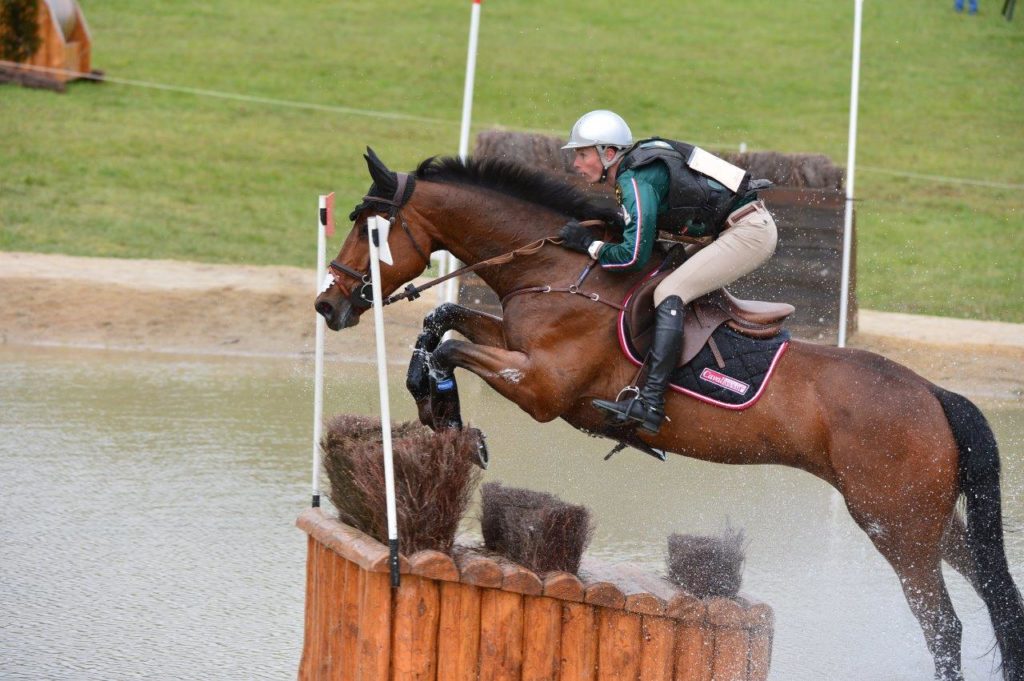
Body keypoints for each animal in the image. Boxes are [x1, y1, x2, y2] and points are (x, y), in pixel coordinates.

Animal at [315, 148, 1019, 679]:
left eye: (369, 229)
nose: (329, 305)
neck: (559, 270)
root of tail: (934, 395)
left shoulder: (541, 388)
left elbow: (451, 345)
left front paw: (448, 412)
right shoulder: (515, 345)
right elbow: (442, 320)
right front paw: (435, 405)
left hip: (894, 525)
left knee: (944, 625)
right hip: (926, 520)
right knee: (994, 593)